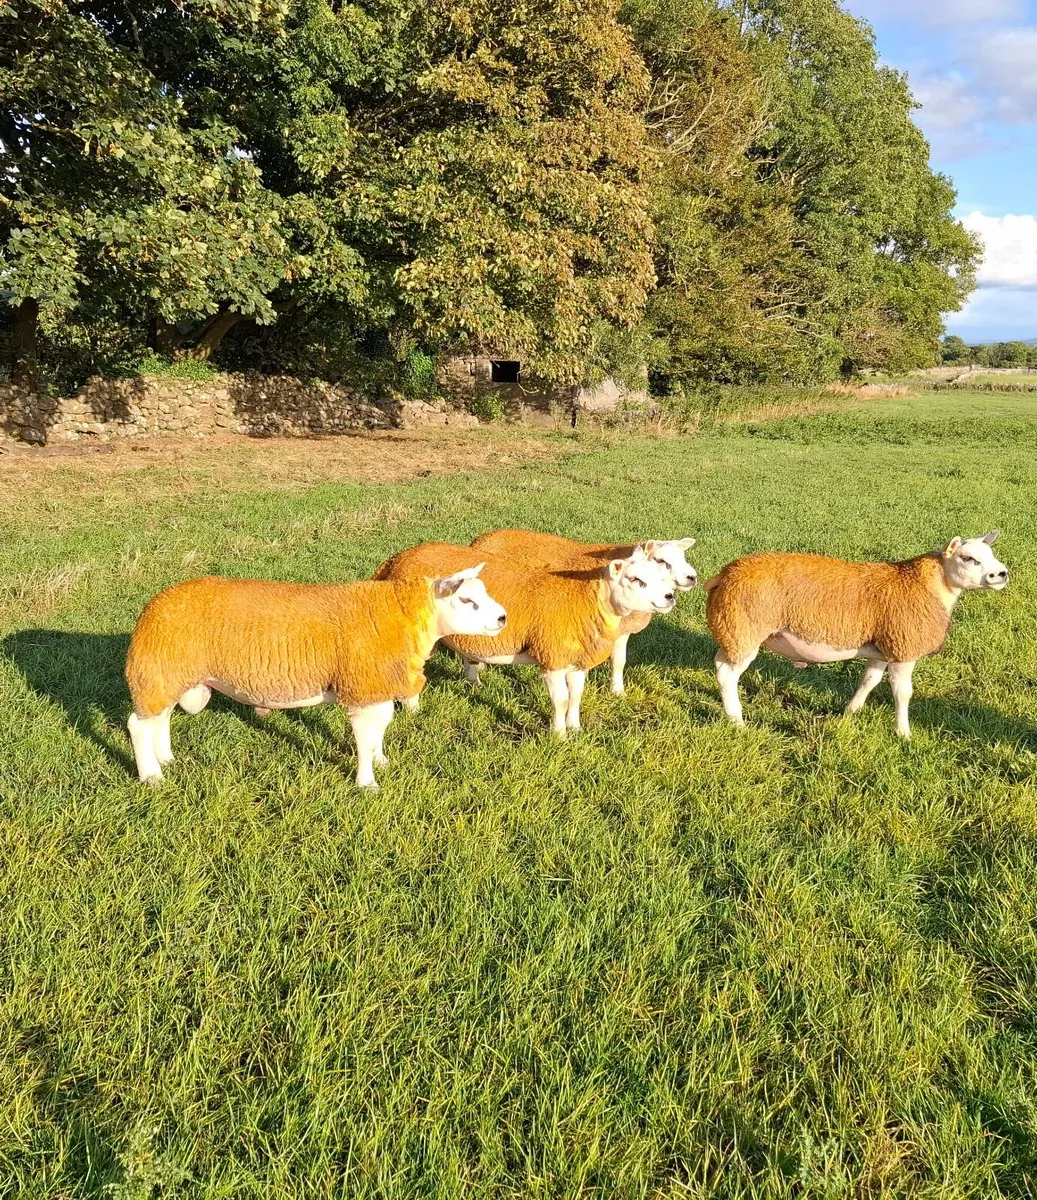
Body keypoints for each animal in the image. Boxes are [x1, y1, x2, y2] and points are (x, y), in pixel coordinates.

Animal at [124, 565, 507, 789]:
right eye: (467, 600)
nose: (503, 618)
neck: (402, 617)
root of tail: (154, 605)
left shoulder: (375, 683)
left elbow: (382, 725)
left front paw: (381, 761)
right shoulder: (360, 685)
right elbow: (364, 736)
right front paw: (366, 783)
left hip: (169, 673)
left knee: (161, 717)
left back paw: (166, 758)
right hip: (159, 669)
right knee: (139, 725)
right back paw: (152, 776)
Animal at [373, 541, 676, 736]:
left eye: (660, 572)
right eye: (635, 579)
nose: (669, 596)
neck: (585, 600)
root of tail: (397, 559)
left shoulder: (577, 659)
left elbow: (576, 695)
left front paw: (576, 727)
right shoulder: (552, 658)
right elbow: (561, 700)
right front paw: (559, 735)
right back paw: (413, 710)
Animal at [471, 528, 697, 693]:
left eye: (683, 557)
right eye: (661, 561)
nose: (692, 577)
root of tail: (480, 540)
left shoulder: (621, 631)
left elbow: (619, 661)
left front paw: (617, 691)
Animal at [704, 532, 1008, 738]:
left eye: (990, 555)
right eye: (968, 558)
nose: (1002, 574)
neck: (929, 585)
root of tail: (725, 574)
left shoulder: (883, 648)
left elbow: (869, 680)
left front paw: (850, 712)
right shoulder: (903, 649)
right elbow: (902, 693)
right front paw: (903, 733)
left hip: (732, 630)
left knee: (719, 663)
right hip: (745, 632)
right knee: (727, 675)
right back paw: (737, 721)